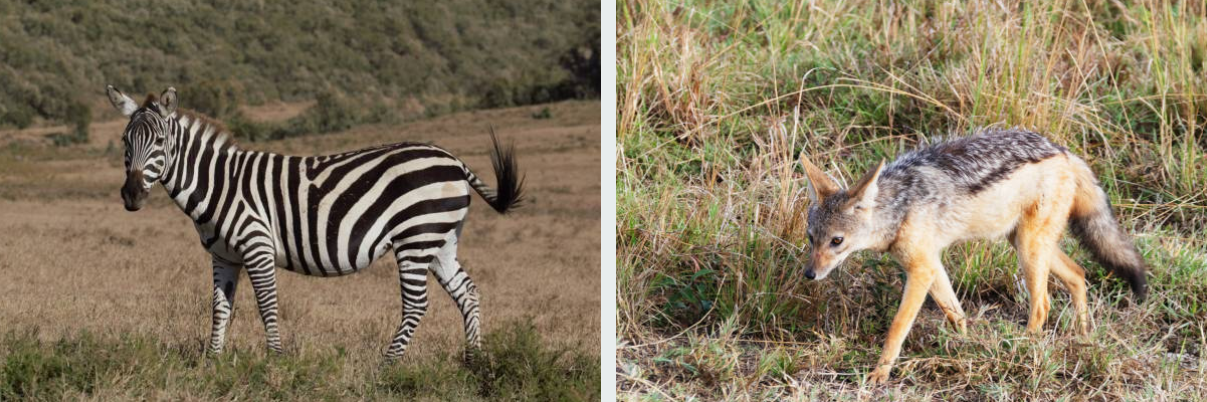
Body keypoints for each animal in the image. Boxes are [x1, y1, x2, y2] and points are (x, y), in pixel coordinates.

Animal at [105, 86, 524, 360]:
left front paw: (275, 361)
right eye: (125, 141)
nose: (131, 196)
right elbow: (220, 308)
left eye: (160, 142)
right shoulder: (223, 256)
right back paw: (472, 361)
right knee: (467, 292)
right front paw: (212, 361)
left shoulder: (257, 246)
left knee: (417, 303)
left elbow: (267, 305)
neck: (219, 184)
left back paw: (388, 365)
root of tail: (452, 159)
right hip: (441, 239)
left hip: (416, 236)